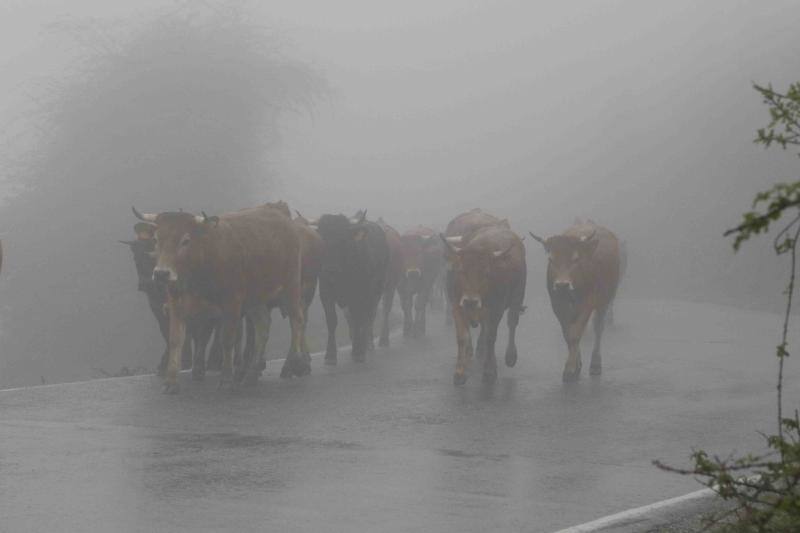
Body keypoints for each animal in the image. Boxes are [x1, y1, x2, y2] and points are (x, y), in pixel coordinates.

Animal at [133, 204, 308, 390]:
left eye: (185, 240)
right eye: (156, 239)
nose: (161, 273)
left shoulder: (232, 302)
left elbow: (227, 338)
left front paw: (225, 379)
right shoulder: (175, 301)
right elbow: (175, 340)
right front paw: (171, 382)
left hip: (291, 286)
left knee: (297, 320)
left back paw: (294, 364)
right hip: (255, 298)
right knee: (263, 325)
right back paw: (251, 374)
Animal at [308, 210, 390, 364]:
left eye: (343, 240)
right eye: (322, 239)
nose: (331, 269)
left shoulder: (358, 296)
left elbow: (359, 319)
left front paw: (359, 352)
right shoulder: (325, 294)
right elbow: (332, 321)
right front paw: (330, 355)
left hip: (376, 293)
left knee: (368, 317)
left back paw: (367, 345)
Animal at [438, 222, 524, 384]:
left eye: (486, 273)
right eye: (461, 270)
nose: (470, 300)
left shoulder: (496, 309)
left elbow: (491, 337)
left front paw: (489, 371)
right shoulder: (457, 307)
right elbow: (462, 337)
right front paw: (460, 372)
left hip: (517, 296)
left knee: (512, 322)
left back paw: (510, 356)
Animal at [528, 222, 620, 380]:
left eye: (576, 259)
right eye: (551, 259)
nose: (562, 285)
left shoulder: (587, 303)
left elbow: (576, 334)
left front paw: (570, 369)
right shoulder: (557, 304)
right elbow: (568, 334)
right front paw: (575, 364)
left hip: (605, 300)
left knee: (598, 328)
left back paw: (595, 363)